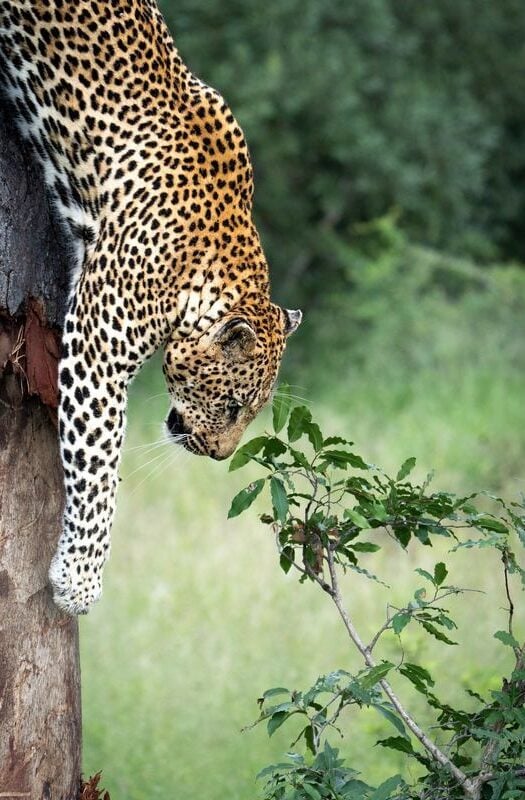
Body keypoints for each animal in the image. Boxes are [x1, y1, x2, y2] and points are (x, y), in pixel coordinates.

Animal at [0, 0, 300, 616]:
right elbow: (98, 461)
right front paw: (79, 581)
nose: (219, 456)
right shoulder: (96, 351)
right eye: (232, 406)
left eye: (251, 413)